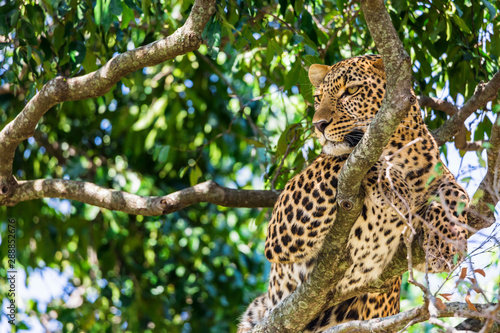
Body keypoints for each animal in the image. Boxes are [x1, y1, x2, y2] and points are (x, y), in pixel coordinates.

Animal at [238, 55, 468, 332]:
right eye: (318, 98)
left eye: (352, 90)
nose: (318, 125)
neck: (397, 149)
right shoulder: (281, 230)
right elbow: (347, 156)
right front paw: (392, 184)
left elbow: (456, 193)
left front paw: (447, 242)